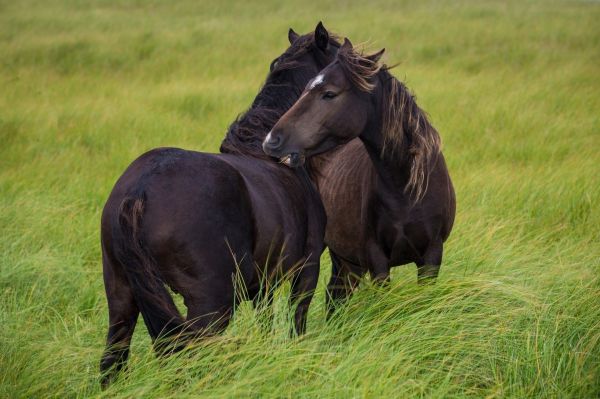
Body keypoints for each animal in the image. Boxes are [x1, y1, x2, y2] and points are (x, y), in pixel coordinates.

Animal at [101, 22, 340, 388]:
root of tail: (140, 190)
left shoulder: (262, 284)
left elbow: (265, 324)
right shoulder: (307, 269)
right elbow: (296, 324)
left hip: (122, 296)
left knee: (113, 361)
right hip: (210, 304)